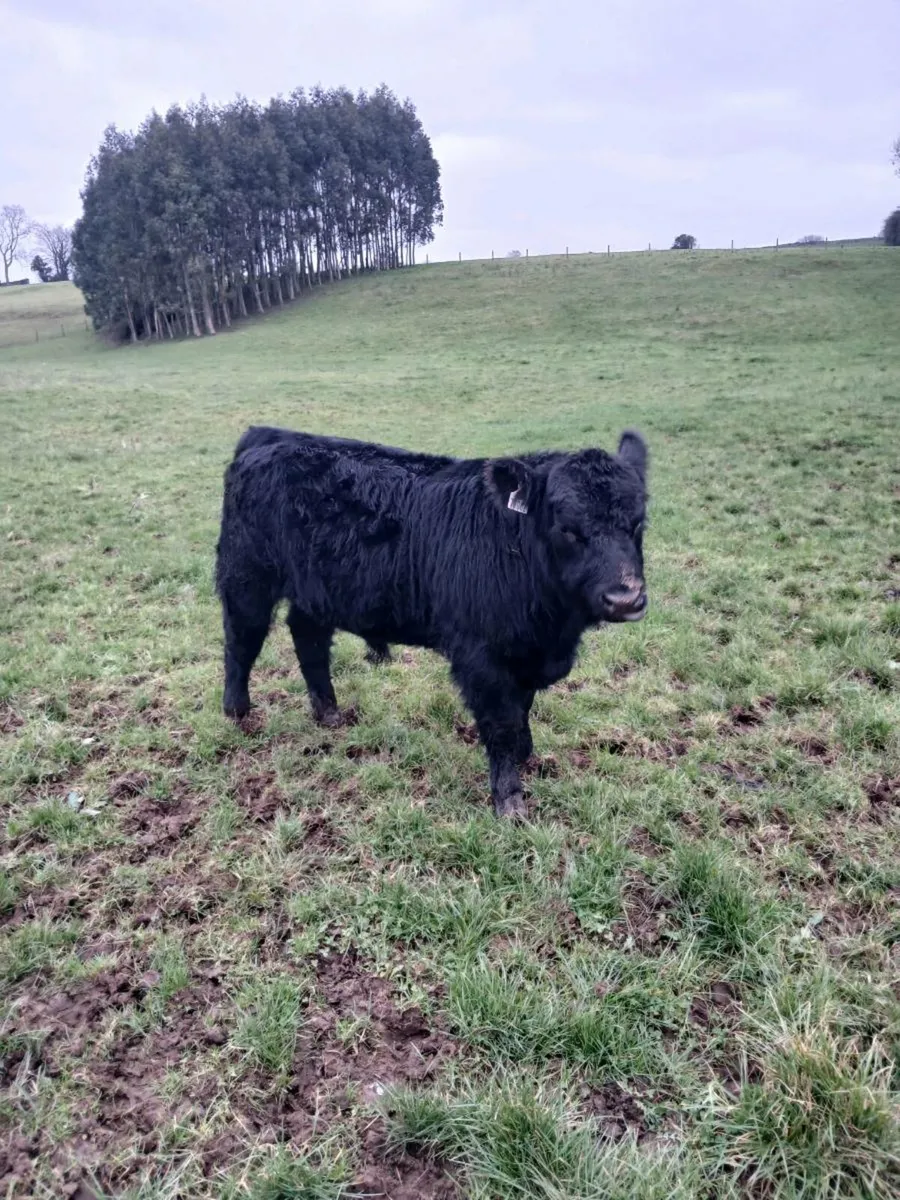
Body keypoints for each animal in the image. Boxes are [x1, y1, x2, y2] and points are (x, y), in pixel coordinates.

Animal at [216, 426, 649, 817]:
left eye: (638, 523)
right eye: (567, 529)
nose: (625, 598)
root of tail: (270, 436)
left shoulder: (526, 653)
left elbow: (522, 709)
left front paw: (526, 755)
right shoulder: (481, 659)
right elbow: (501, 724)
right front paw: (509, 801)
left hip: (314, 592)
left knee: (309, 641)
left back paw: (329, 714)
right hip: (246, 578)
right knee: (242, 640)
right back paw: (237, 712)